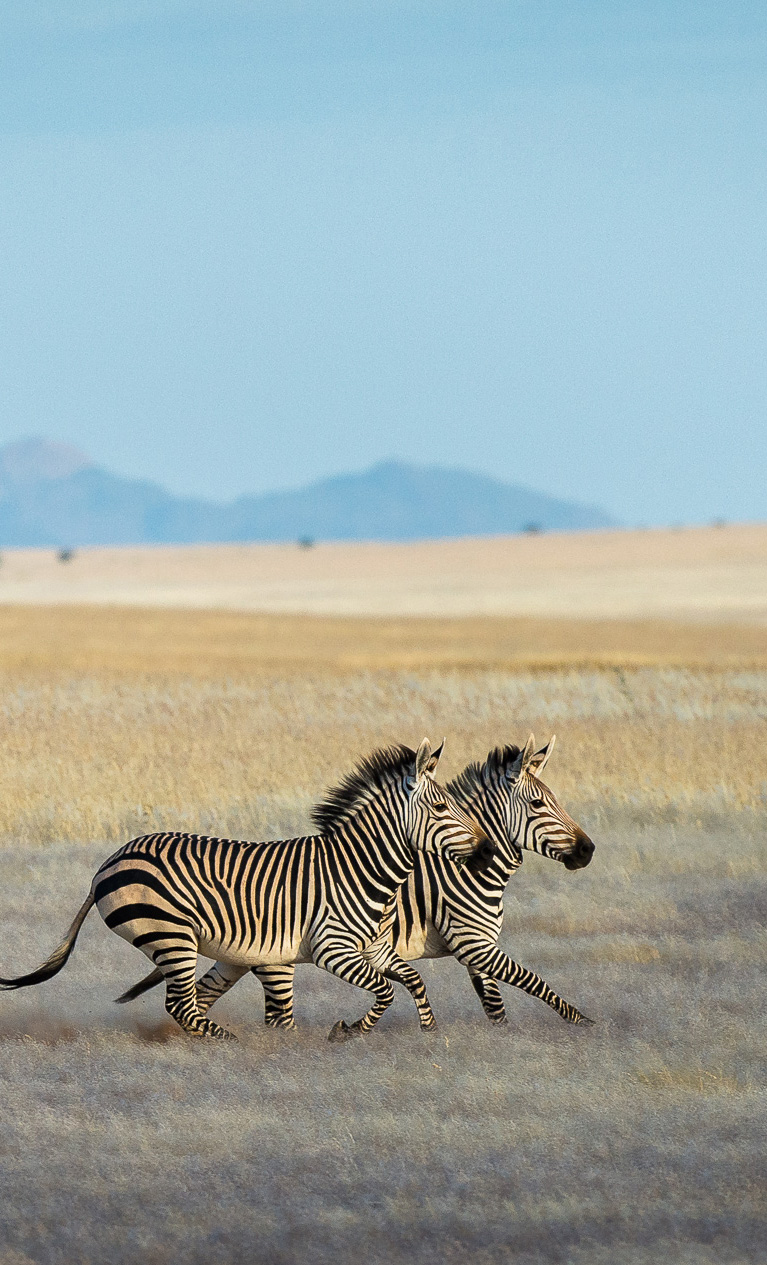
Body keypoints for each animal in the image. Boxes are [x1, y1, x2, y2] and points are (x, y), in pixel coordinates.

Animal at [0, 739, 488, 1042]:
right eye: (440, 807)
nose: (485, 849)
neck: (359, 868)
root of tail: (111, 859)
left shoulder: (374, 948)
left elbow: (413, 980)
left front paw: (428, 1032)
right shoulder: (332, 949)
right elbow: (386, 991)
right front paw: (346, 1032)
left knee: (191, 1003)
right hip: (172, 936)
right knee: (181, 1004)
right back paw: (231, 1043)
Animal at [119, 735, 596, 1031]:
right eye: (538, 804)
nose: (589, 850)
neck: (459, 870)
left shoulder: (476, 948)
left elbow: (495, 1005)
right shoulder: (471, 942)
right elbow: (530, 981)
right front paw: (583, 1023)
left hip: (237, 955)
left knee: (203, 996)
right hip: (272, 959)